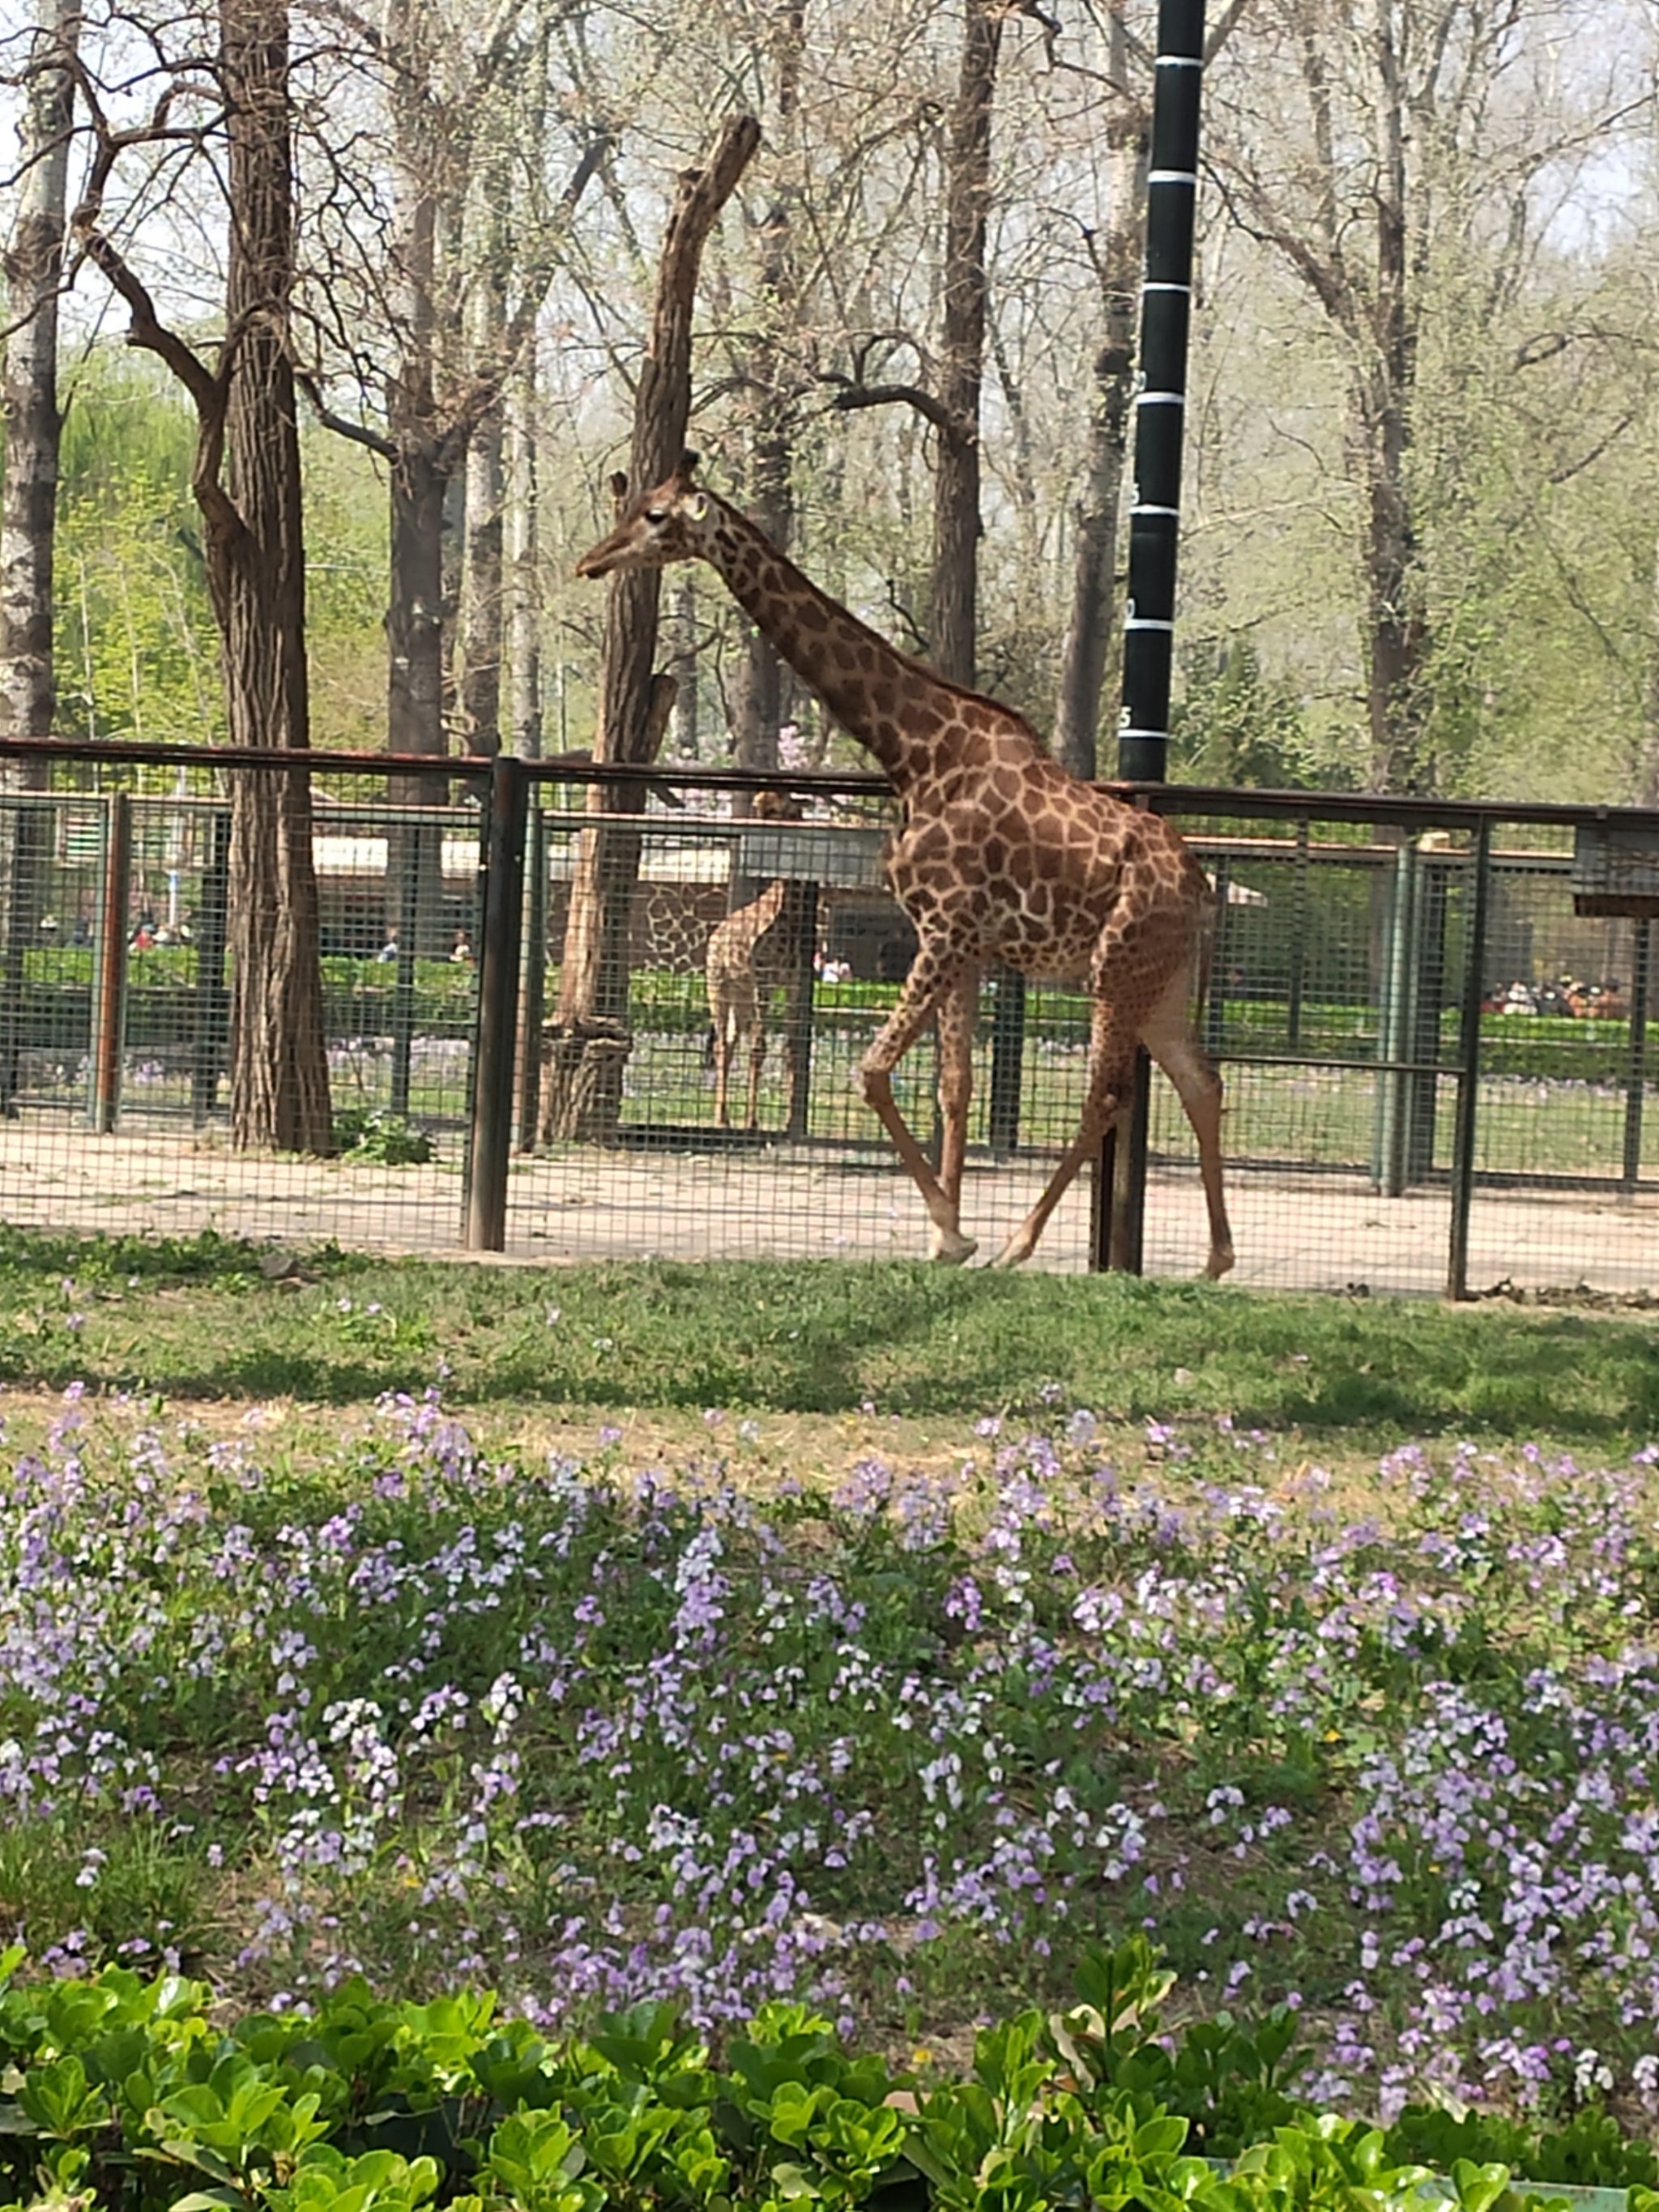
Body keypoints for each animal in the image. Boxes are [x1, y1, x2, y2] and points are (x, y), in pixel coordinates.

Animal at [574, 451, 1239, 1282]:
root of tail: (1201, 892)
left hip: (1114, 970)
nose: (590, 561)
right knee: (1202, 1081)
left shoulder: (946, 930)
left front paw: (956, 1232)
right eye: (636, 501)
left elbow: (873, 1069)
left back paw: (1021, 1244)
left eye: (658, 516)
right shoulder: (968, 945)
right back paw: (1215, 1260)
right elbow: (953, 1086)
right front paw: (941, 1232)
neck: (916, 752)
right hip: (1161, 983)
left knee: (1109, 1095)